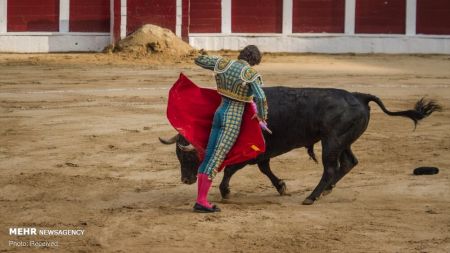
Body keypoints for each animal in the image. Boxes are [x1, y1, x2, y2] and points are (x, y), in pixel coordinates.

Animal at [158, 86, 440, 205]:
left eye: (188, 157)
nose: (185, 180)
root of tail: (360, 96)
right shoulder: (263, 154)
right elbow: (264, 169)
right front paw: (281, 186)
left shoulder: (251, 153)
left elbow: (232, 169)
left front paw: (226, 192)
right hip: (341, 141)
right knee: (349, 162)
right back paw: (327, 190)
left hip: (332, 141)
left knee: (330, 168)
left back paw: (312, 196)